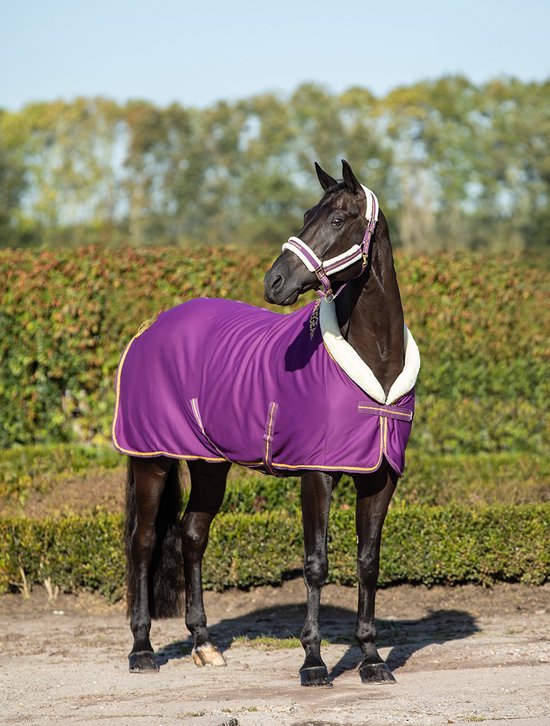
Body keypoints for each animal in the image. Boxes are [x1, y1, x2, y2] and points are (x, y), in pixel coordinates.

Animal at [114, 159, 419, 686]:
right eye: (305, 215)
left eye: (337, 220)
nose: (273, 281)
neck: (375, 361)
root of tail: (149, 329)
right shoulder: (317, 474)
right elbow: (316, 563)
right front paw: (313, 661)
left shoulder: (380, 477)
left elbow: (368, 561)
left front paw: (371, 658)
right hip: (151, 459)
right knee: (144, 542)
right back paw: (142, 650)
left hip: (209, 464)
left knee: (193, 535)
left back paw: (204, 644)